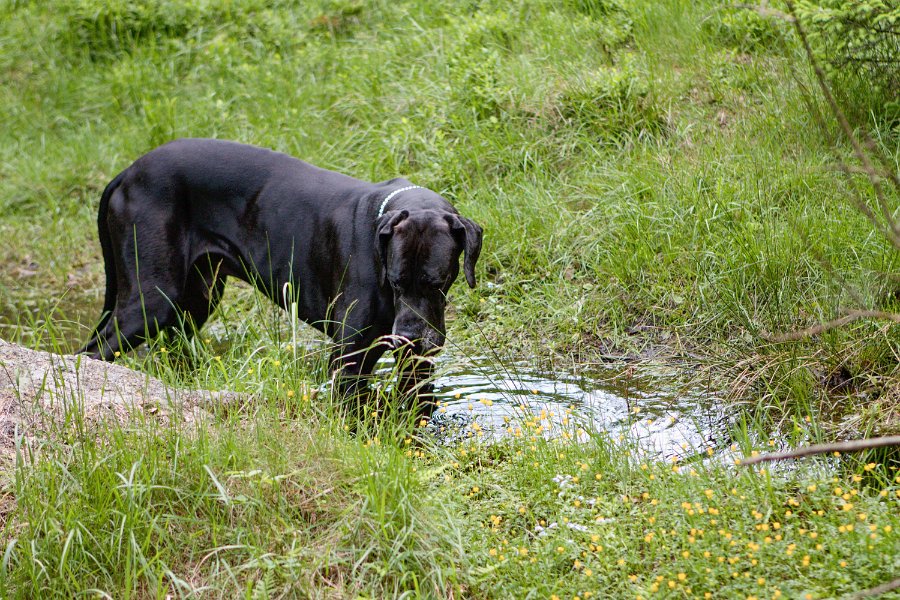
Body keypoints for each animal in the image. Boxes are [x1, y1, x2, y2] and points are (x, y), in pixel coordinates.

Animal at [81, 139, 482, 406]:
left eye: (438, 282)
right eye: (396, 283)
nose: (410, 337)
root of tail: (126, 173)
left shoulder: (416, 365)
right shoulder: (349, 359)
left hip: (194, 301)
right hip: (150, 303)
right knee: (92, 351)